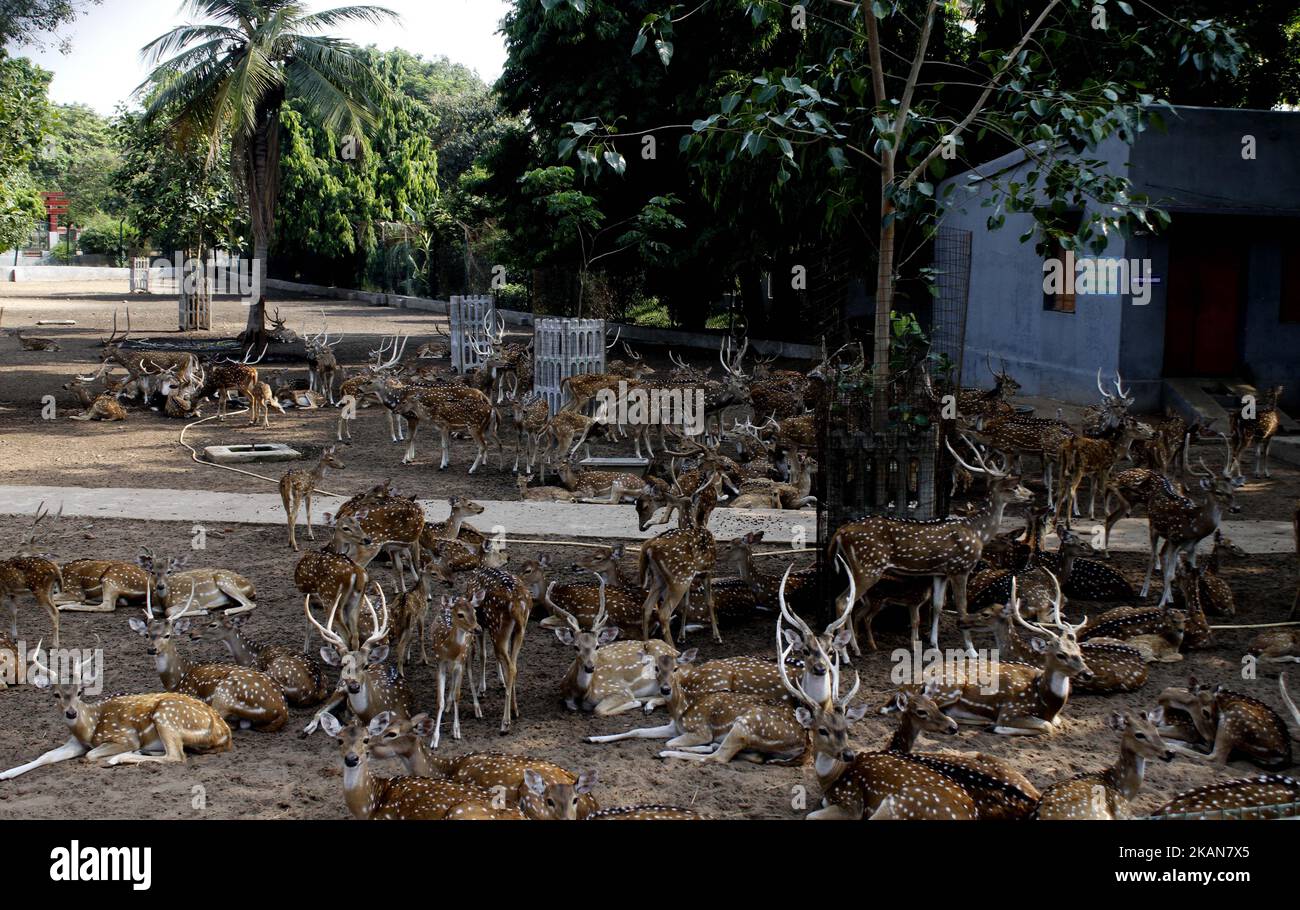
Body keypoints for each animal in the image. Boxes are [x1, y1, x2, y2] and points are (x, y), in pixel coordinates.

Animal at [0, 650, 231, 780]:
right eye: (56, 694)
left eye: (80, 692)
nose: (71, 713)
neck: (89, 728)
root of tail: (225, 733)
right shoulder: (76, 742)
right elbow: (46, 756)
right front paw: (5, 774)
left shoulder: (125, 736)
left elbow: (90, 755)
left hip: (166, 715)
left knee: (176, 756)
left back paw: (117, 758)